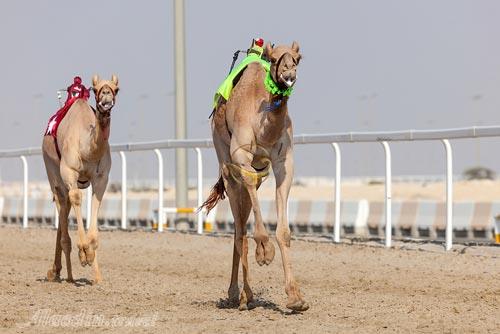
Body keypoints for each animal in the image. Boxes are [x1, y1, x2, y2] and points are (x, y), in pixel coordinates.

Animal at [41, 74, 118, 284]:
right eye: (95, 88)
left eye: (116, 88)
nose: (106, 96)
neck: (88, 149)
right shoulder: (69, 171)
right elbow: (76, 199)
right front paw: (83, 254)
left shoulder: (101, 177)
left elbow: (95, 204)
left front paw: (92, 261)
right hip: (53, 173)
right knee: (63, 203)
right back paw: (66, 275)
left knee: (64, 208)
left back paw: (60, 271)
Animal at [200, 43, 308, 312]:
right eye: (273, 58)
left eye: (298, 58)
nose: (289, 73)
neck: (265, 128)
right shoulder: (241, 156)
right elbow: (252, 231)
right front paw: (264, 252)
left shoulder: (283, 163)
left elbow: (284, 232)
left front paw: (296, 298)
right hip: (226, 165)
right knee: (239, 229)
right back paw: (239, 294)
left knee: (242, 221)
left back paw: (244, 295)